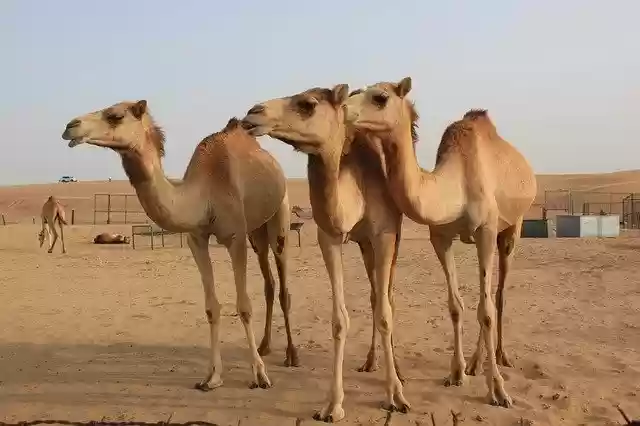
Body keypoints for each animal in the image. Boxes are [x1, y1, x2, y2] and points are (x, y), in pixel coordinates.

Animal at [61, 100, 299, 391]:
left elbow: (244, 306)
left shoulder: (235, 237)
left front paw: (260, 375)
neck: (204, 193)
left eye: (115, 115)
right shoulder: (196, 239)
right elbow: (211, 308)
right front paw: (212, 377)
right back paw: (265, 346)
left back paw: (291, 355)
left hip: (280, 216)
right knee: (269, 283)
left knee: (283, 284)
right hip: (256, 232)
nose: (70, 126)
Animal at [241, 84, 408, 422]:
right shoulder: (328, 237)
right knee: (374, 295)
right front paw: (333, 405)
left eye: (308, 104)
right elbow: (339, 320)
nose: (253, 112)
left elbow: (386, 313)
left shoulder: (384, 235)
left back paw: (394, 370)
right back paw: (370, 362)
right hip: (363, 245)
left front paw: (395, 396)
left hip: (392, 237)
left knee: (386, 298)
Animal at [344, 77, 537, 408]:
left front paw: (498, 390)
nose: (343, 108)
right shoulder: (440, 238)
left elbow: (485, 310)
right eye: (357, 92)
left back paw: (500, 357)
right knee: (487, 296)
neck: (456, 185)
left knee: (497, 295)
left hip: (512, 228)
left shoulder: (486, 231)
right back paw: (475, 363)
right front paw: (456, 373)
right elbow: (455, 305)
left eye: (380, 97)